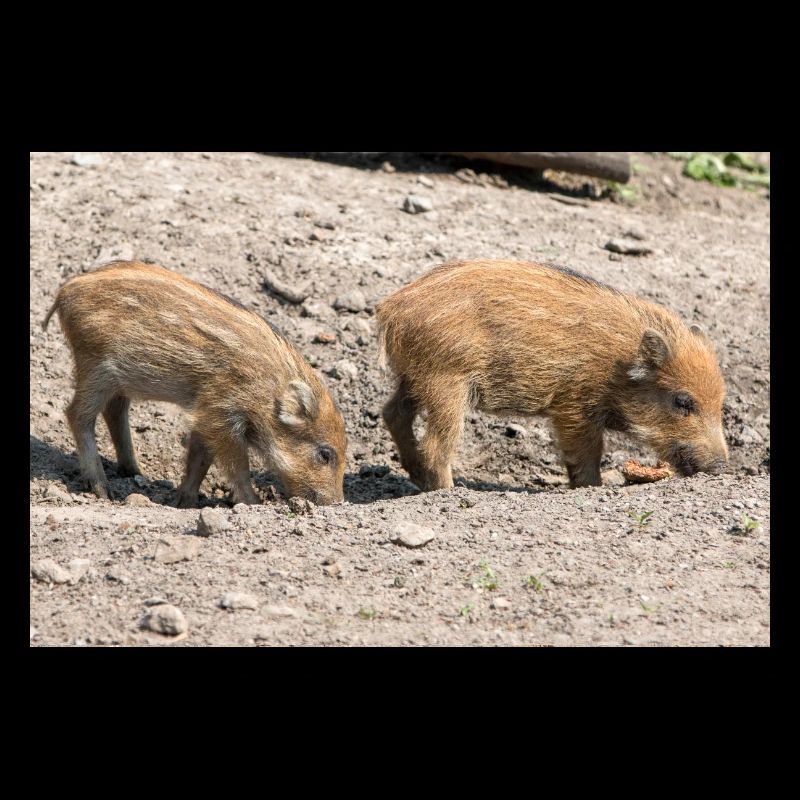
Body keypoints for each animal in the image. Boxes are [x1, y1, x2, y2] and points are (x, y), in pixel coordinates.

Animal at [42, 260, 347, 506]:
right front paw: (253, 503)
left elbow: (200, 458)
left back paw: (135, 472)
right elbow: (236, 464)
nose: (336, 504)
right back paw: (103, 489)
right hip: (94, 366)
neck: (267, 390)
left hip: (118, 379)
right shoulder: (219, 409)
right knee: (78, 415)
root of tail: (65, 290)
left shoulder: (206, 414)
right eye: (325, 454)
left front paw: (184, 502)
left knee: (114, 410)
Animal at [376, 259, 728, 490]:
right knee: (436, 445)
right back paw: (448, 492)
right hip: (446, 381)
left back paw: (417, 479)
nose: (722, 468)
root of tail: (391, 308)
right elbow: (587, 454)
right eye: (682, 401)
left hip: (414, 377)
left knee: (393, 413)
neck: (619, 366)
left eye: (721, 405)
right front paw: (592, 488)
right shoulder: (574, 408)